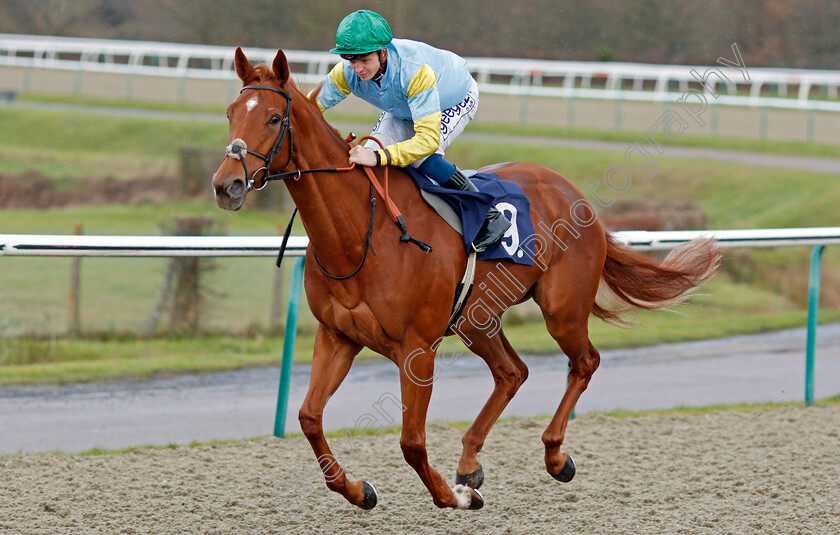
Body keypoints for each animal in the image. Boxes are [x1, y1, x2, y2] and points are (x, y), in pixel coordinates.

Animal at [213, 48, 720, 512]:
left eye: (274, 117)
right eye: (230, 113)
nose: (226, 185)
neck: (360, 232)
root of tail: (575, 194)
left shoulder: (416, 349)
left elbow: (411, 442)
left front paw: (452, 498)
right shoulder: (337, 335)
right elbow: (309, 418)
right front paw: (360, 491)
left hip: (562, 309)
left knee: (584, 363)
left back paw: (555, 456)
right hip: (476, 317)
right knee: (513, 372)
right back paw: (470, 463)